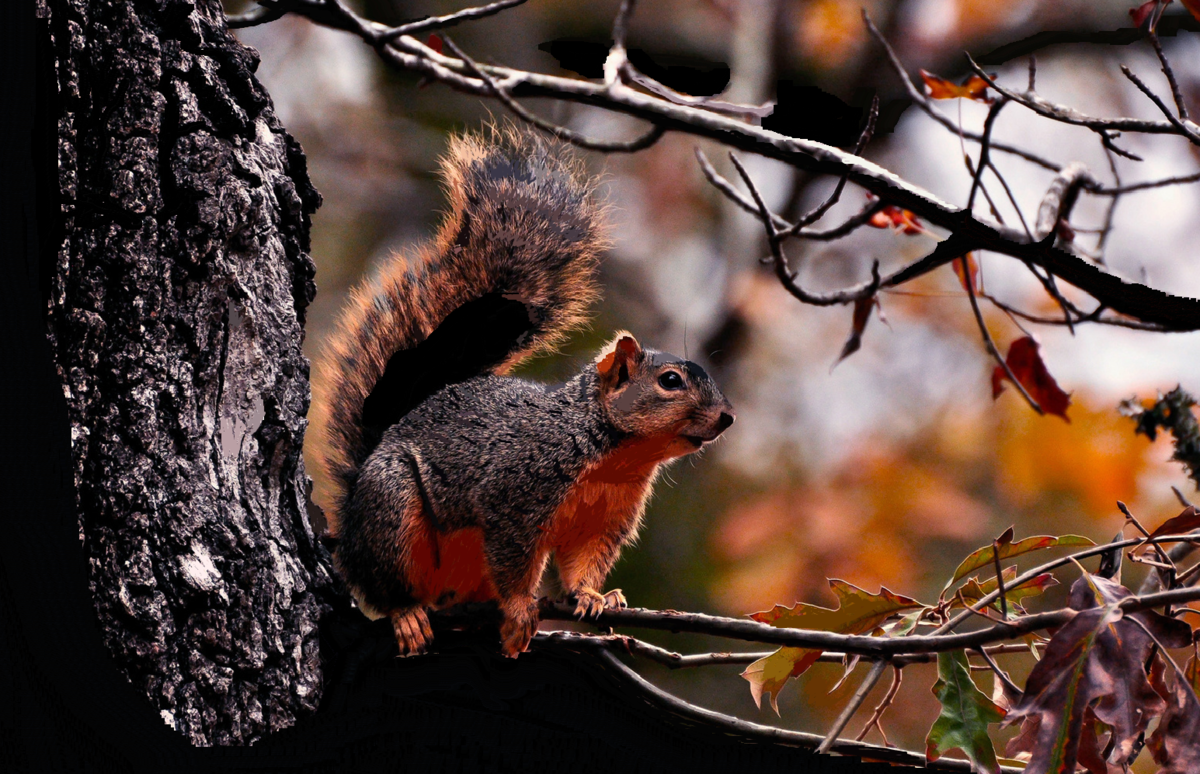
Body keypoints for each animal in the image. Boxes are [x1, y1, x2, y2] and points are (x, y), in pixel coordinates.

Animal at [310, 128, 735, 658]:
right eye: (671, 381)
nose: (727, 417)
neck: (617, 457)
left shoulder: (604, 520)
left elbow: (584, 562)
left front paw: (594, 595)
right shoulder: (514, 494)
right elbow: (513, 560)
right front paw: (517, 610)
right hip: (391, 504)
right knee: (382, 581)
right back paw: (406, 614)